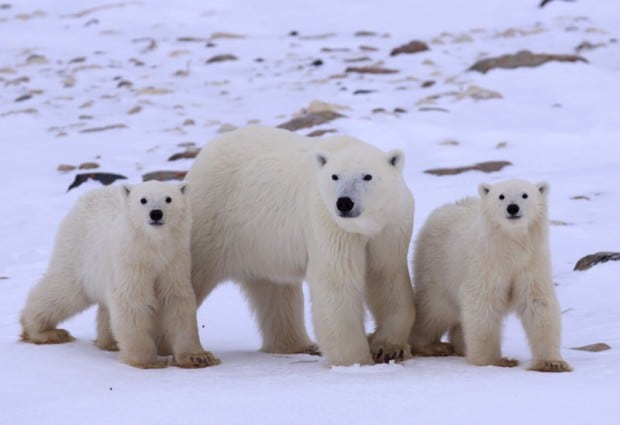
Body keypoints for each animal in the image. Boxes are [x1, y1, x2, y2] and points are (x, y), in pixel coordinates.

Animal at [20, 180, 218, 368]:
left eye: (168, 199)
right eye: (143, 200)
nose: (156, 213)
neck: (152, 247)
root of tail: (89, 195)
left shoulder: (174, 261)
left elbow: (176, 300)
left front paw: (198, 357)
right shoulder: (131, 261)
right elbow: (131, 301)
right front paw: (147, 361)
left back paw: (109, 342)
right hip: (79, 253)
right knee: (63, 291)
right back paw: (44, 331)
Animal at [185, 125, 416, 364]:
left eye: (367, 176)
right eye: (335, 176)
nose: (344, 203)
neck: (365, 226)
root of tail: (206, 152)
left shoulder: (391, 226)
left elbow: (386, 274)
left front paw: (388, 347)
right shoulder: (327, 220)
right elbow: (336, 278)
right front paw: (355, 361)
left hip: (264, 244)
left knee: (274, 290)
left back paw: (298, 345)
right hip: (214, 217)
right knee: (194, 271)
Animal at [410, 179, 572, 372]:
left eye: (525, 194)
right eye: (501, 196)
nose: (512, 207)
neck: (510, 246)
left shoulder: (531, 263)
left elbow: (537, 304)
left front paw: (553, 363)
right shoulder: (487, 263)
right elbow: (483, 303)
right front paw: (495, 361)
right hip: (437, 268)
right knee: (435, 309)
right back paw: (430, 346)